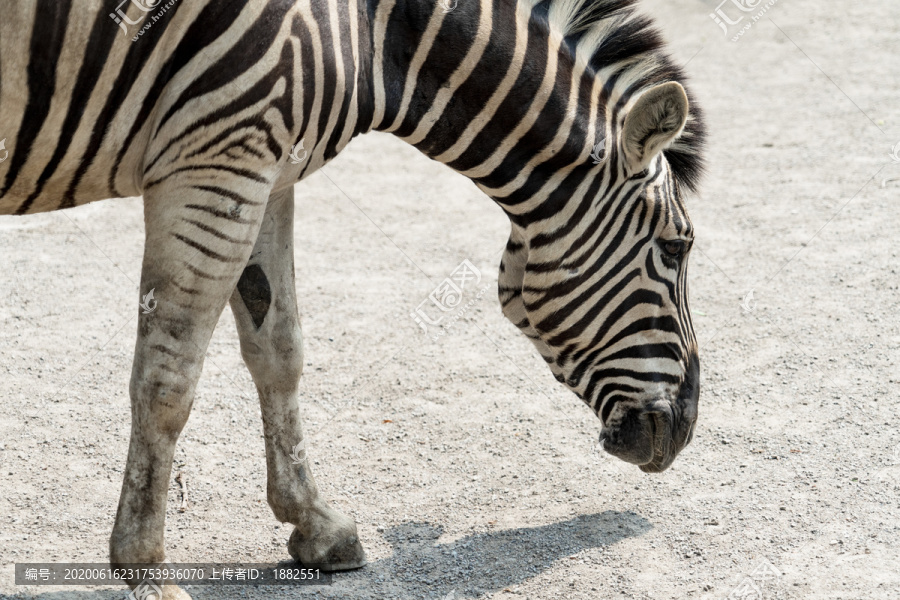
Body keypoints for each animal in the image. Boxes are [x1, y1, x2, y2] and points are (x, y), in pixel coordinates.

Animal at [0, 0, 704, 596]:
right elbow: (167, 381)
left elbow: (278, 350)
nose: (685, 430)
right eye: (676, 248)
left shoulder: (267, 171)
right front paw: (145, 568)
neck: (372, 34)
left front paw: (314, 524)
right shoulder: (216, 163)